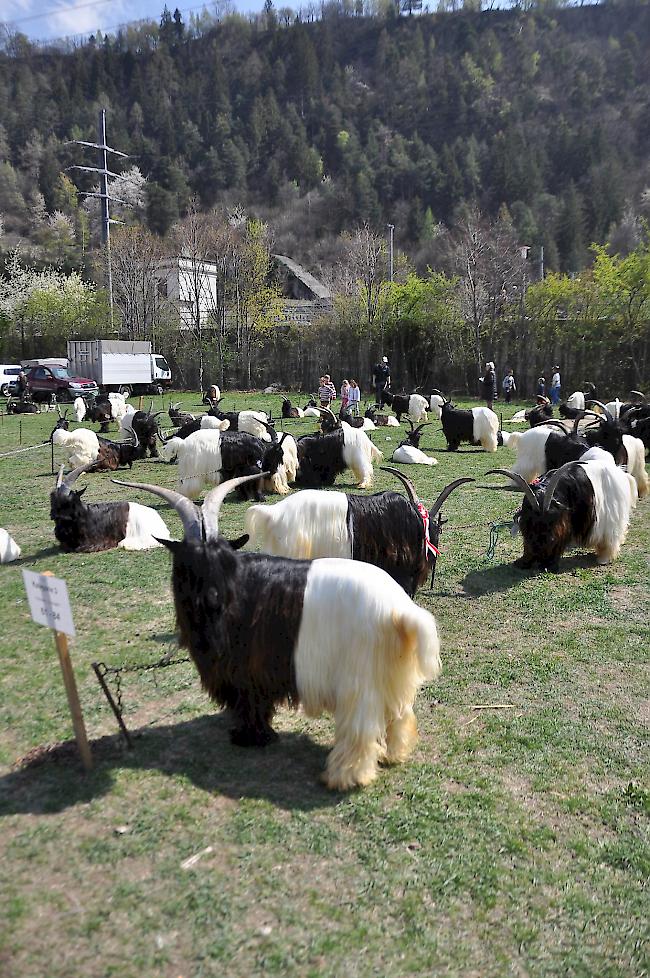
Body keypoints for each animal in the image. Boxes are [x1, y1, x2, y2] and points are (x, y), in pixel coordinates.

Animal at [486, 458, 632, 572]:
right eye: (533, 522)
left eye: (551, 519)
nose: (544, 542)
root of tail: (618, 470)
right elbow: (528, 541)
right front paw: (524, 561)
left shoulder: (562, 522)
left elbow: (559, 538)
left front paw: (549, 564)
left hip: (611, 513)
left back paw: (604, 558)